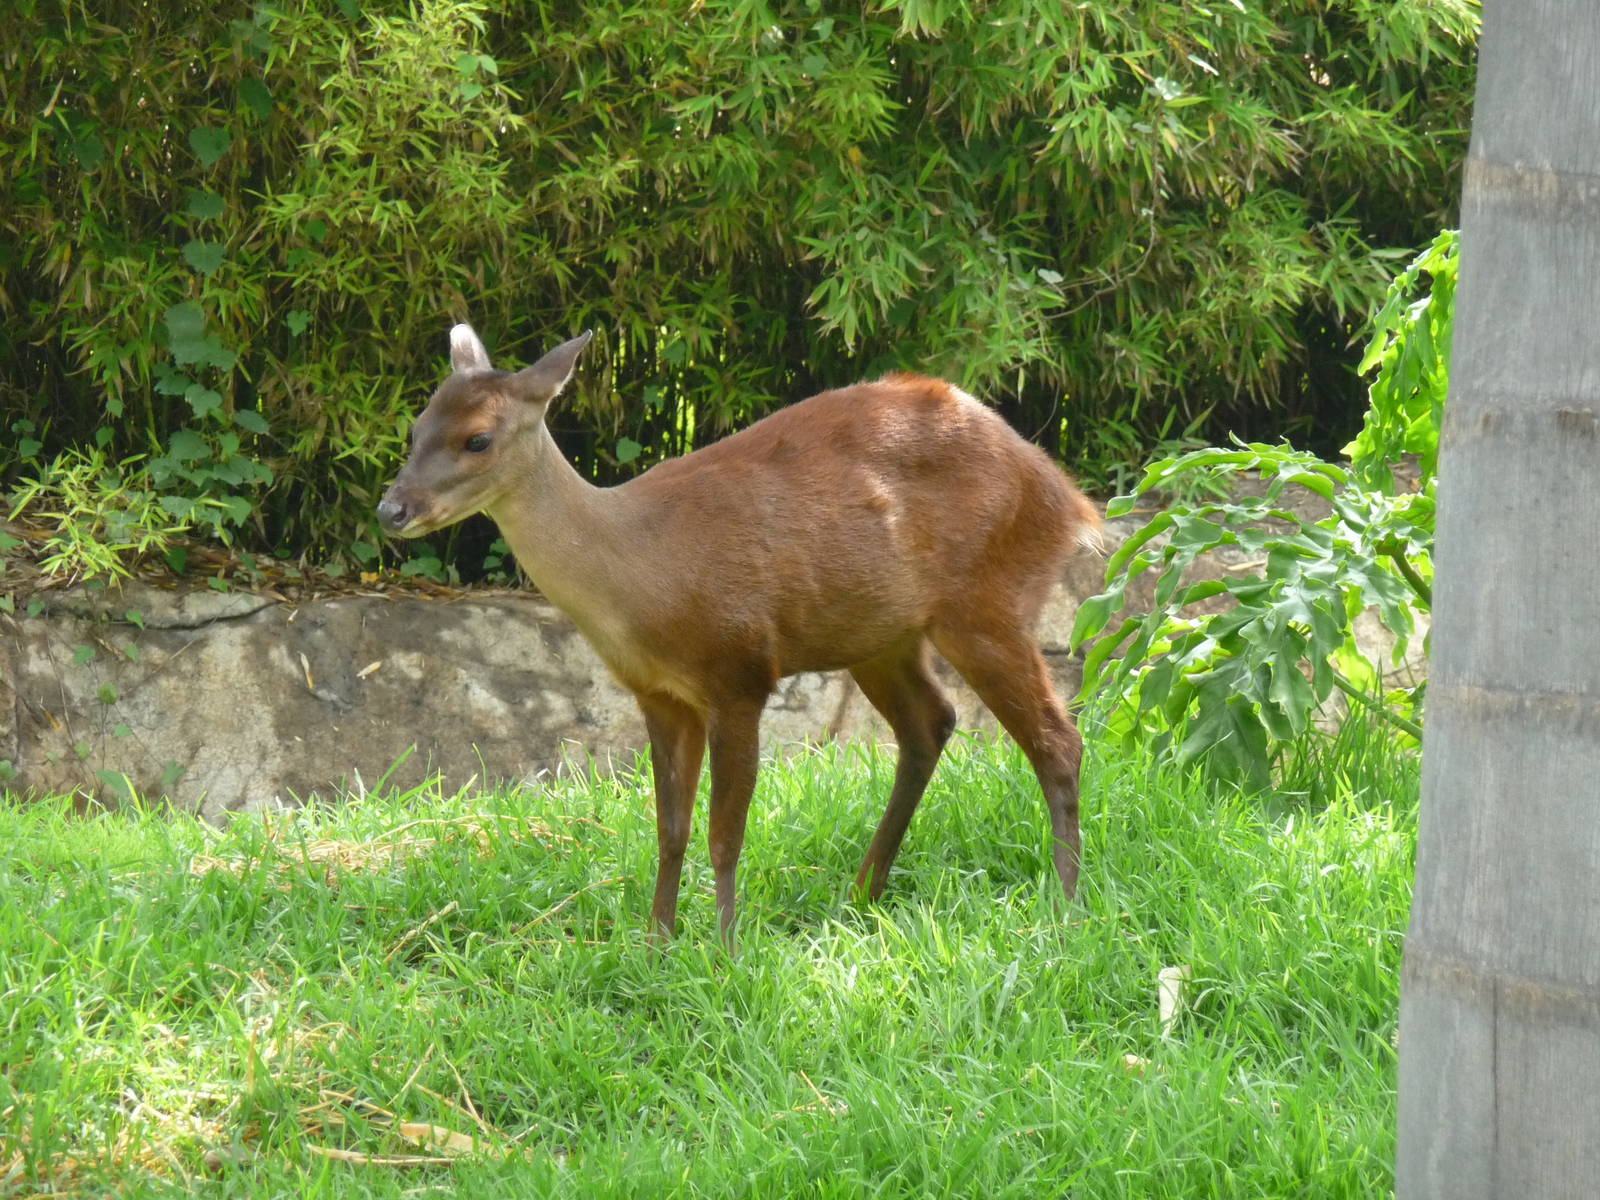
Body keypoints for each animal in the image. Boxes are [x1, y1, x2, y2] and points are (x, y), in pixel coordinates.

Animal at [377, 325, 1102, 946]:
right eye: (415, 426)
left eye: (477, 439)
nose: (392, 508)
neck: (640, 572)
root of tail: (1068, 496)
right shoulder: (657, 693)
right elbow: (670, 827)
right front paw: (657, 944)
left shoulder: (739, 672)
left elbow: (725, 831)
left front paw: (725, 950)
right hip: (882, 632)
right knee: (932, 722)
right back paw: (864, 892)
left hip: (986, 601)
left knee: (1057, 740)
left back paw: (1066, 907)